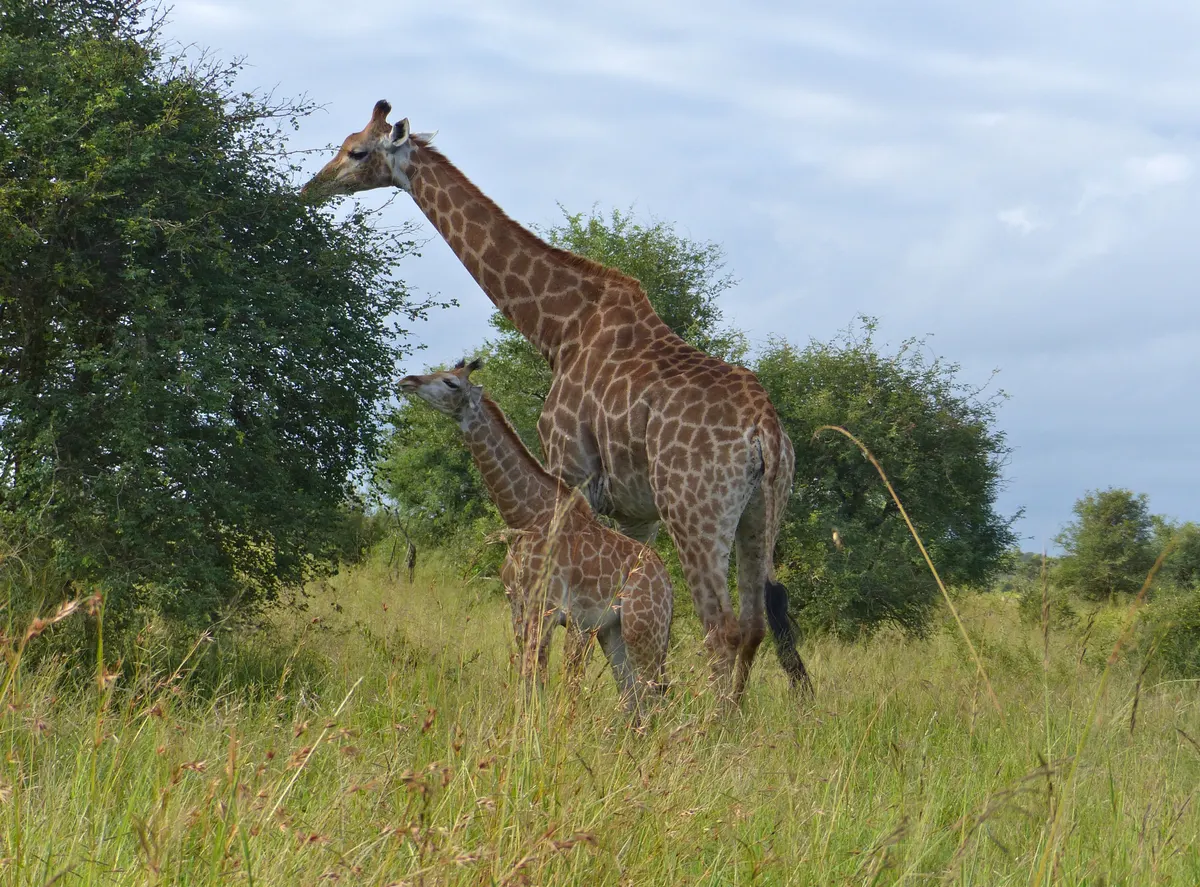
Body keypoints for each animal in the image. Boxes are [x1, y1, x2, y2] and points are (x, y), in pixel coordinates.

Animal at [397, 358, 673, 715]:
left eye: (451, 383)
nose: (408, 381)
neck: (525, 515)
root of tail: (668, 586)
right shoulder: (518, 607)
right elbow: (527, 676)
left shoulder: (546, 608)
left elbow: (536, 676)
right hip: (614, 632)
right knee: (633, 699)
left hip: (644, 628)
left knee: (652, 697)